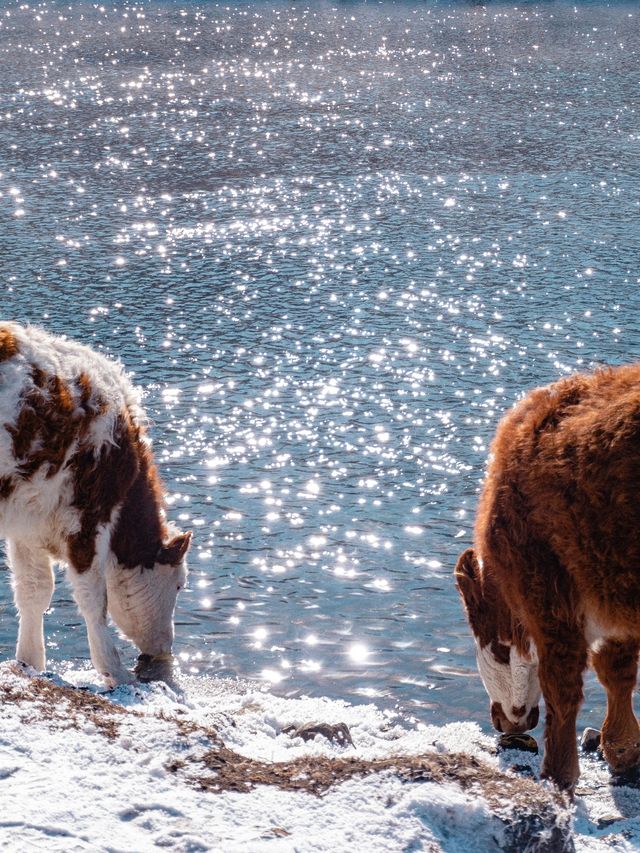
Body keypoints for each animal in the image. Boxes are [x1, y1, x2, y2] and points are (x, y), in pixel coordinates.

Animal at [0, 322, 191, 688]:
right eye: (178, 585)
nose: (166, 647)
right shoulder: (87, 516)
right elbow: (94, 599)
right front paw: (114, 670)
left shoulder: (28, 523)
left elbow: (33, 590)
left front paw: (30, 661)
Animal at [456, 366, 640, 792]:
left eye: (498, 649)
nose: (504, 720)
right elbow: (617, 670)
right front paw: (623, 749)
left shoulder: (547, 591)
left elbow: (562, 688)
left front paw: (557, 776)